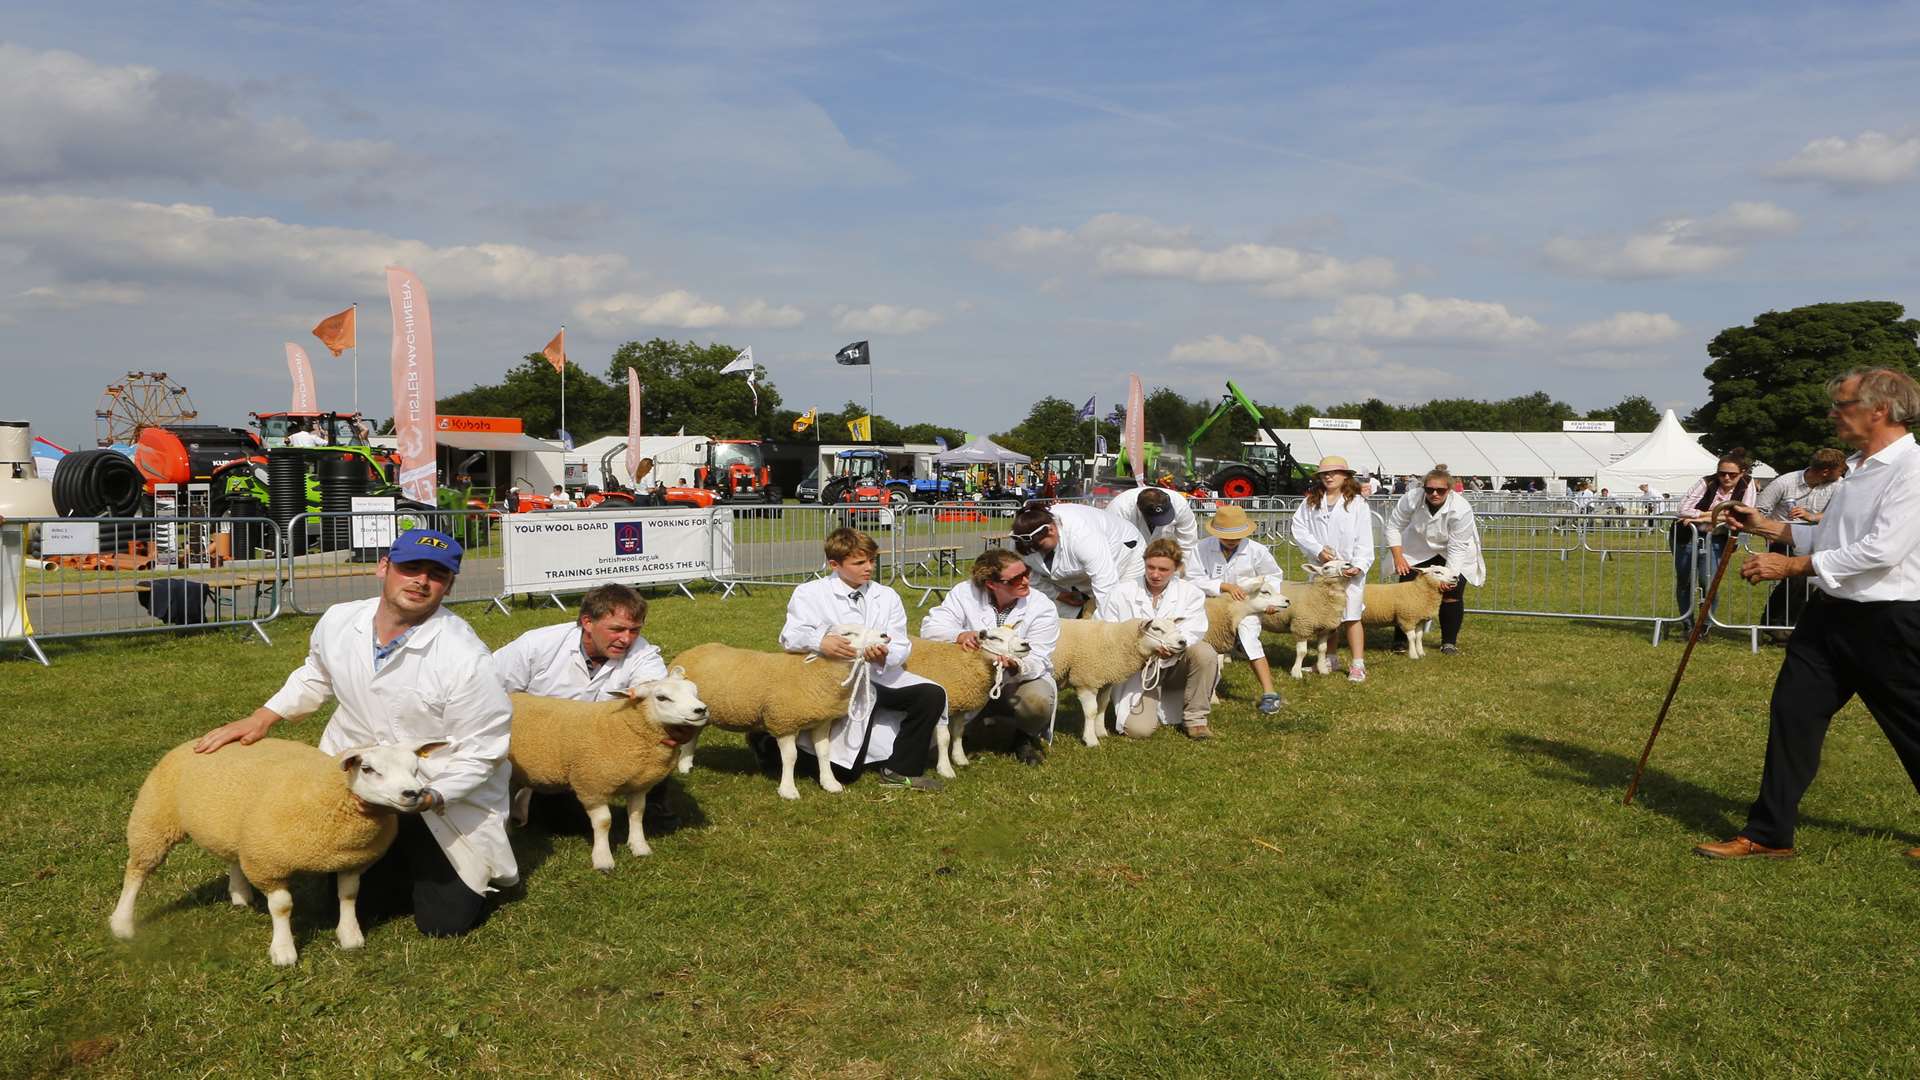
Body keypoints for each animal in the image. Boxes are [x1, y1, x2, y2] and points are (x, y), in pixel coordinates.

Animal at [111, 734, 441, 960]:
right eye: (369, 769)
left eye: (416, 769)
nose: (412, 793)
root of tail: (192, 742)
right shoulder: (267, 861)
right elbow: (282, 906)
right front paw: (283, 951)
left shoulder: (352, 860)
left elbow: (349, 895)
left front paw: (350, 935)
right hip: (154, 820)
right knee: (137, 871)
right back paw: (122, 923)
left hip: (233, 827)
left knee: (232, 856)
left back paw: (239, 894)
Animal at [510, 668, 714, 868]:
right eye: (662, 698)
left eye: (695, 692)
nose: (701, 710)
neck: (627, 728)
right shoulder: (592, 787)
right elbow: (603, 822)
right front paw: (603, 859)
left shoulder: (639, 785)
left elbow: (637, 814)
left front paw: (639, 846)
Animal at [668, 622, 890, 799]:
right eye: (848, 634)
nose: (884, 636)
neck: (814, 672)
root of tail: (689, 652)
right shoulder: (784, 721)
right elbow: (791, 757)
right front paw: (788, 790)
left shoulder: (821, 722)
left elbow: (824, 752)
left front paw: (830, 783)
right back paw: (684, 766)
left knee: (693, 735)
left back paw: (686, 765)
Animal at [902, 622, 1036, 772]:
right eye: (994, 638)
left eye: (1016, 635)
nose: (1025, 644)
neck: (966, 661)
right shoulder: (943, 705)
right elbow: (944, 738)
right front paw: (945, 769)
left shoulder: (961, 705)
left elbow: (958, 732)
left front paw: (960, 759)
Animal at [1052, 618, 1182, 745]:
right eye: (1156, 628)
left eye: (1175, 627)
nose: (1183, 641)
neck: (1115, 642)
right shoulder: (1085, 680)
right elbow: (1091, 711)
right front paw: (1091, 740)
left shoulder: (1105, 682)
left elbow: (1103, 705)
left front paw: (1101, 732)